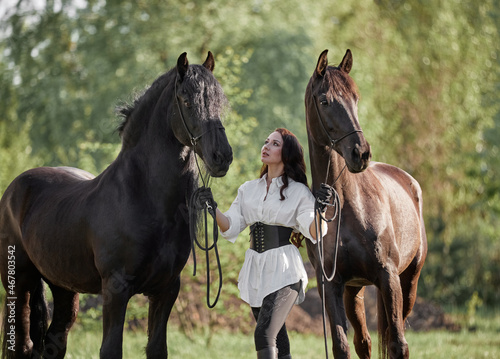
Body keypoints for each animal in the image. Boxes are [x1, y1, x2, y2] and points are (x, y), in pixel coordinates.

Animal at [0, 52, 234, 358]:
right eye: (186, 100)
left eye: (219, 100)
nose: (222, 156)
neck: (143, 200)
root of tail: (14, 188)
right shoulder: (115, 289)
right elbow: (111, 349)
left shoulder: (166, 289)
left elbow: (156, 348)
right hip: (19, 283)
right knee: (20, 344)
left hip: (64, 287)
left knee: (54, 342)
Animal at [302, 48, 428, 359]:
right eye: (325, 100)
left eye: (356, 98)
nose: (360, 153)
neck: (346, 207)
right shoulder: (331, 286)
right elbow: (342, 346)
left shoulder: (388, 277)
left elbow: (398, 345)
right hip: (353, 291)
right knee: (364, 342)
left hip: (408, 282)